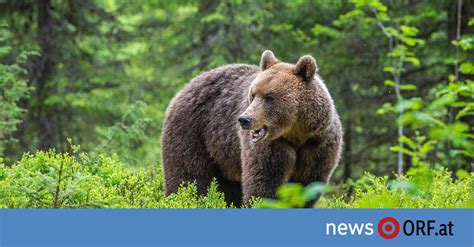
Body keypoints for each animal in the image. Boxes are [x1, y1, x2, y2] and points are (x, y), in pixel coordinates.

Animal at [162, 50, 340, 206]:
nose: (244, 119)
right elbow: (263, 183)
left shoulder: (318, 146)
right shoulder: (271, 147)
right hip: (193, 132)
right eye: (253, 94)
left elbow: (307, 186)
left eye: (270, 97)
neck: (296, 134)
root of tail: (186, 86)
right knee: (188, 176)